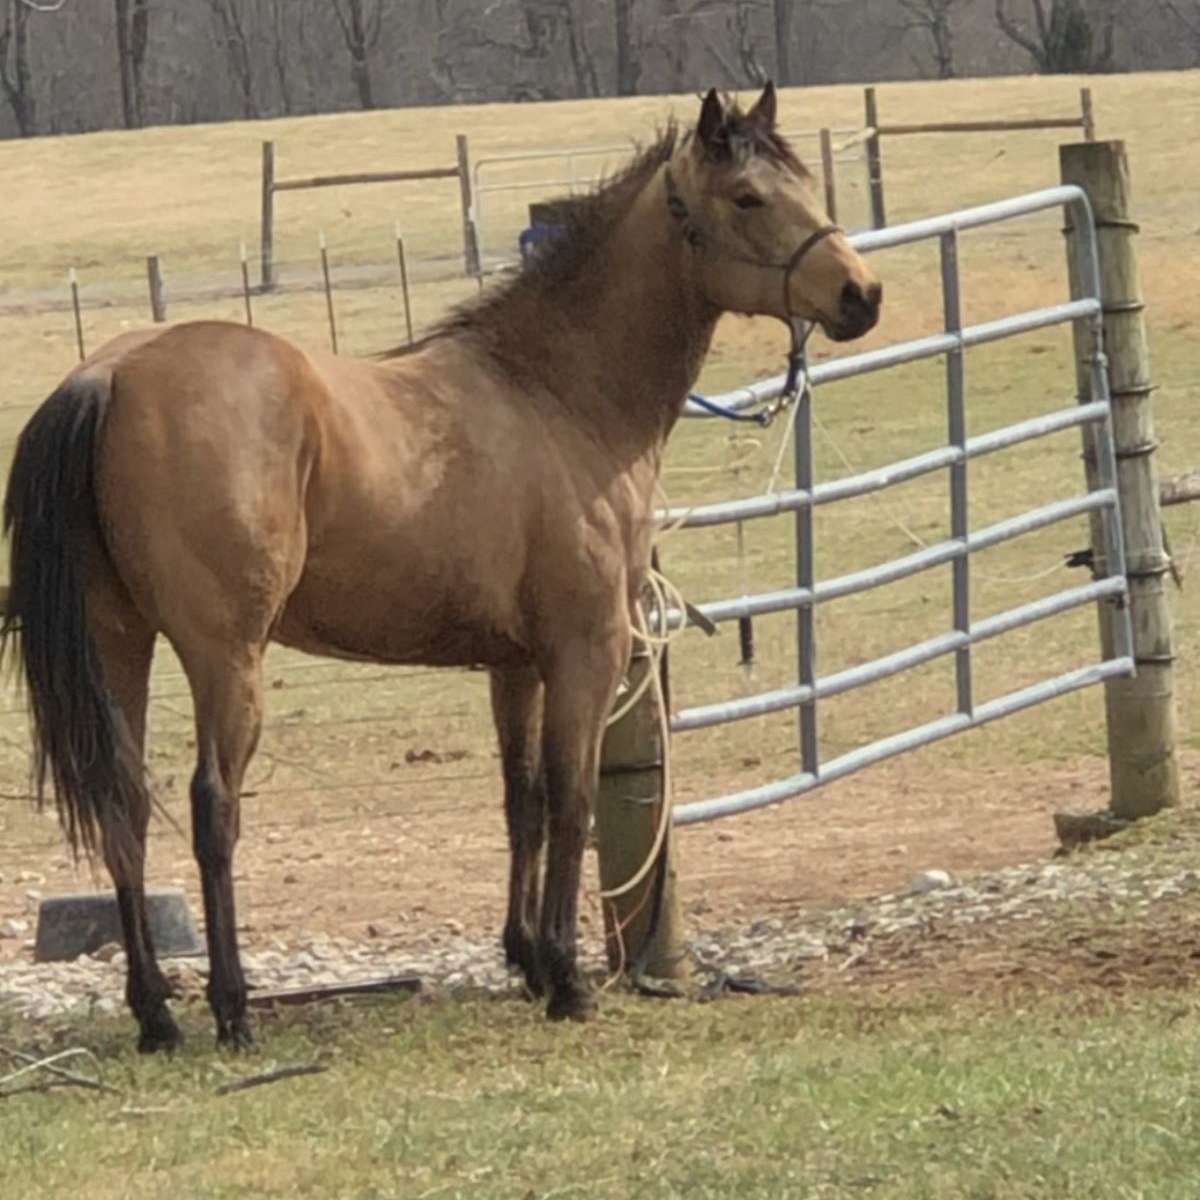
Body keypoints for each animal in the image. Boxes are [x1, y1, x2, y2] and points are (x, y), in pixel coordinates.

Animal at [0, 84, 883, 1056]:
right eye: (749, 198)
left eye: (801, 182)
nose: (861, 293)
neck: (557, 395)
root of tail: (110, 375)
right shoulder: (586, 651)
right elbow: (571, 799)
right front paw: (570, 980)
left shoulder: (516, 665)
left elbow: (522, 802)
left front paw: (528, 960)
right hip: (223, 658)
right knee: (211, 810)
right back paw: (231, 1008)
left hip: (121, 642)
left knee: (121, 807)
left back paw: (157, 1014)